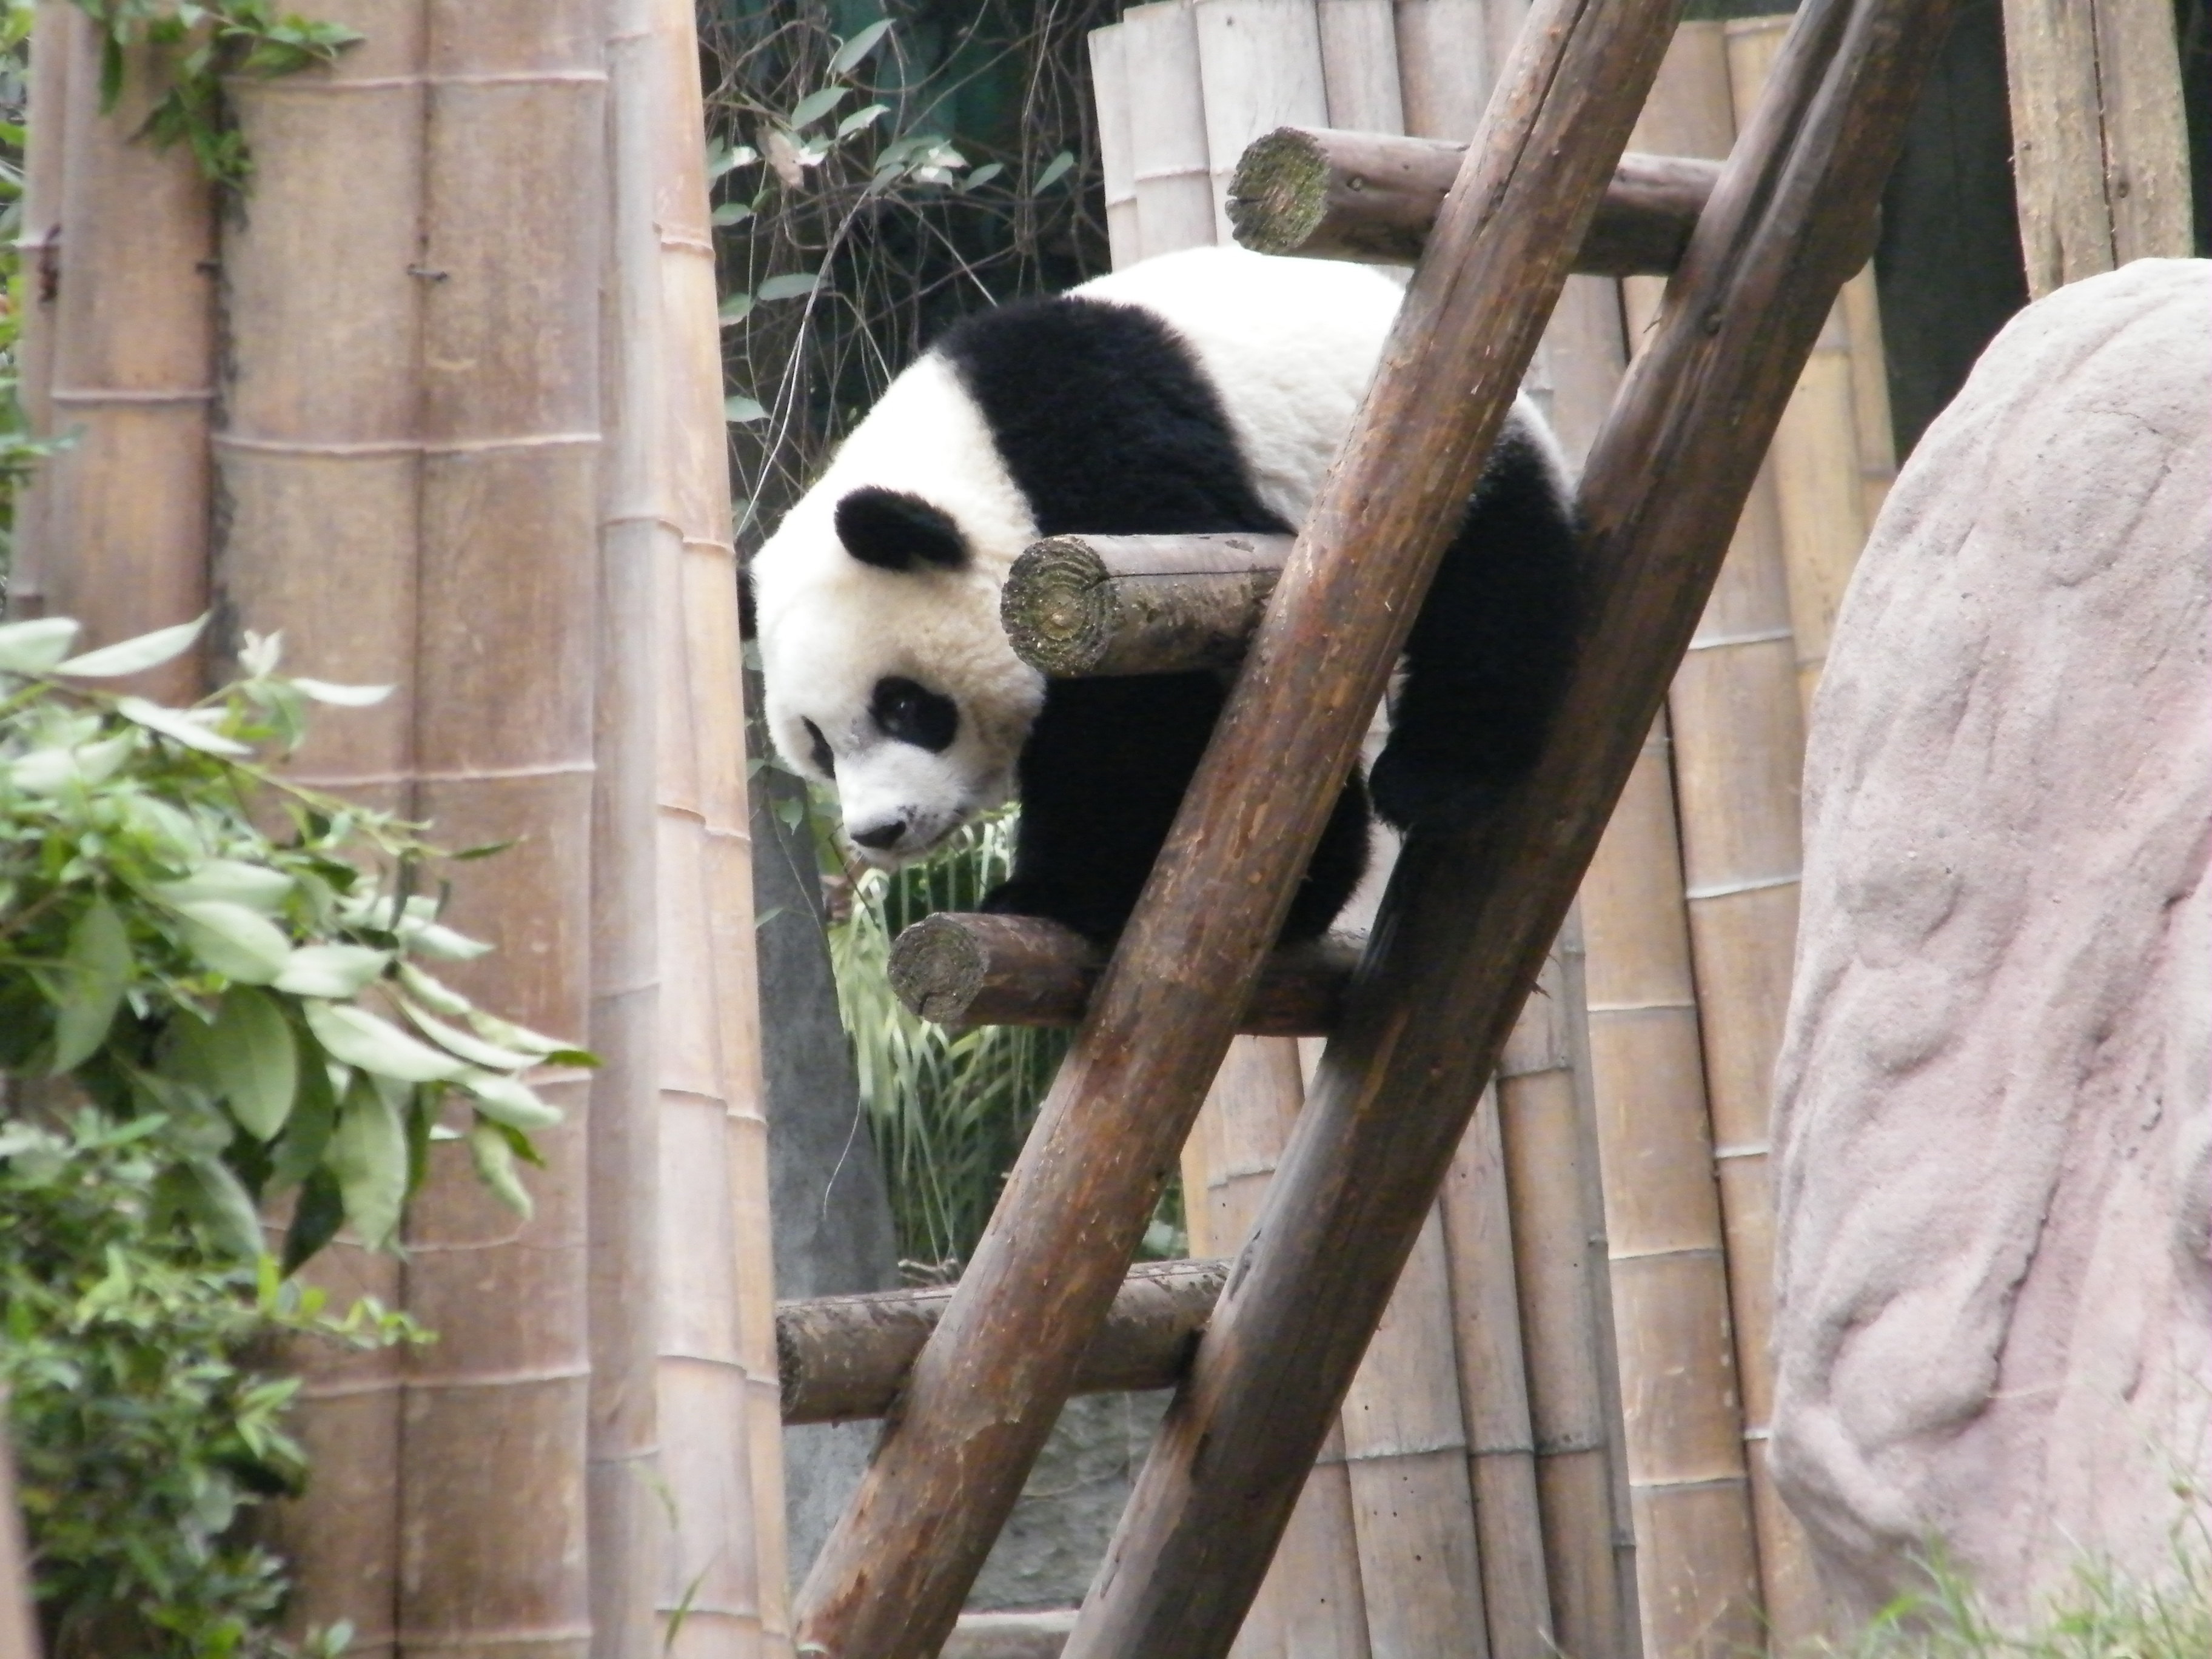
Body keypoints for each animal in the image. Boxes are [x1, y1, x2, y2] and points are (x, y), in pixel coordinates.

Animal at [752, 246, 1583, 947]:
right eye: (818, 744)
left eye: (904, 705)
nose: (879, 830)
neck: (980, 462)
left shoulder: (1110, 488)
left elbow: (1150, 716)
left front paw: (1069, 893)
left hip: (1444, 462)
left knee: (1494, 592)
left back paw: (1437, 779)